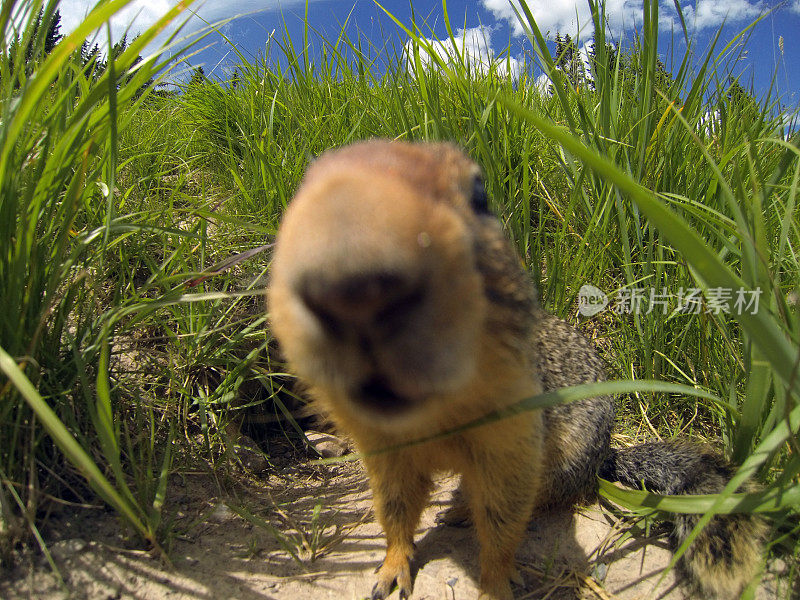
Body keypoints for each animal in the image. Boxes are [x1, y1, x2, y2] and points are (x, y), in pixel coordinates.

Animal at [268, 138, 768, 596]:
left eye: (479, 194)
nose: (354, 285)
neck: (434, 415)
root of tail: (606, 454)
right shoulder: (387, 453)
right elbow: (395, 512)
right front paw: (391, 569)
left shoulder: (514, 442)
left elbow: (504, 518)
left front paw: (496, 580)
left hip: (567, 458)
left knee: (548, 495)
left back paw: (462, 509)